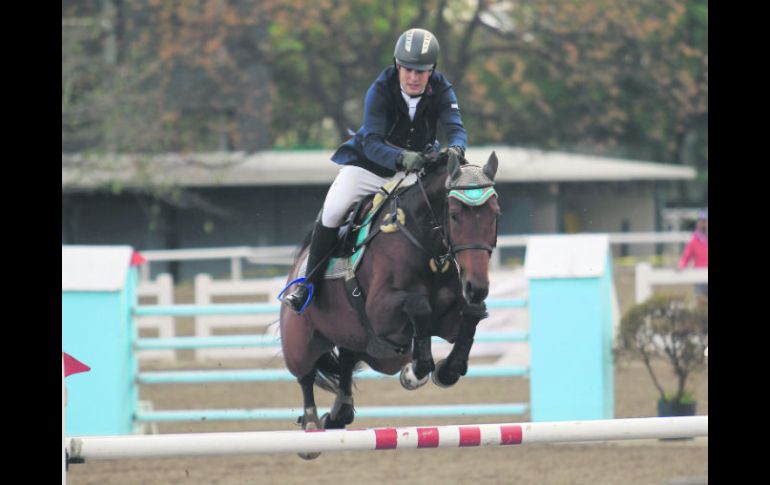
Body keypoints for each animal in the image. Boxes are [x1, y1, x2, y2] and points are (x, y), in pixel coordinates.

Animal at [276, 151, 498, 458]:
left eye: (496, 215)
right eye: (454, 216)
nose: (477, 288)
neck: (426, 246)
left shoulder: (448, 320)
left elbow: (471, 315)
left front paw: (446, 370)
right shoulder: (382, 313)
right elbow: (419, 305)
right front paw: (414, 373)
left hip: (364, 345)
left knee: (346, 361)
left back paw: (337, 414)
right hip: (301, 342)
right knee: (305, 376)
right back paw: (311, 427)